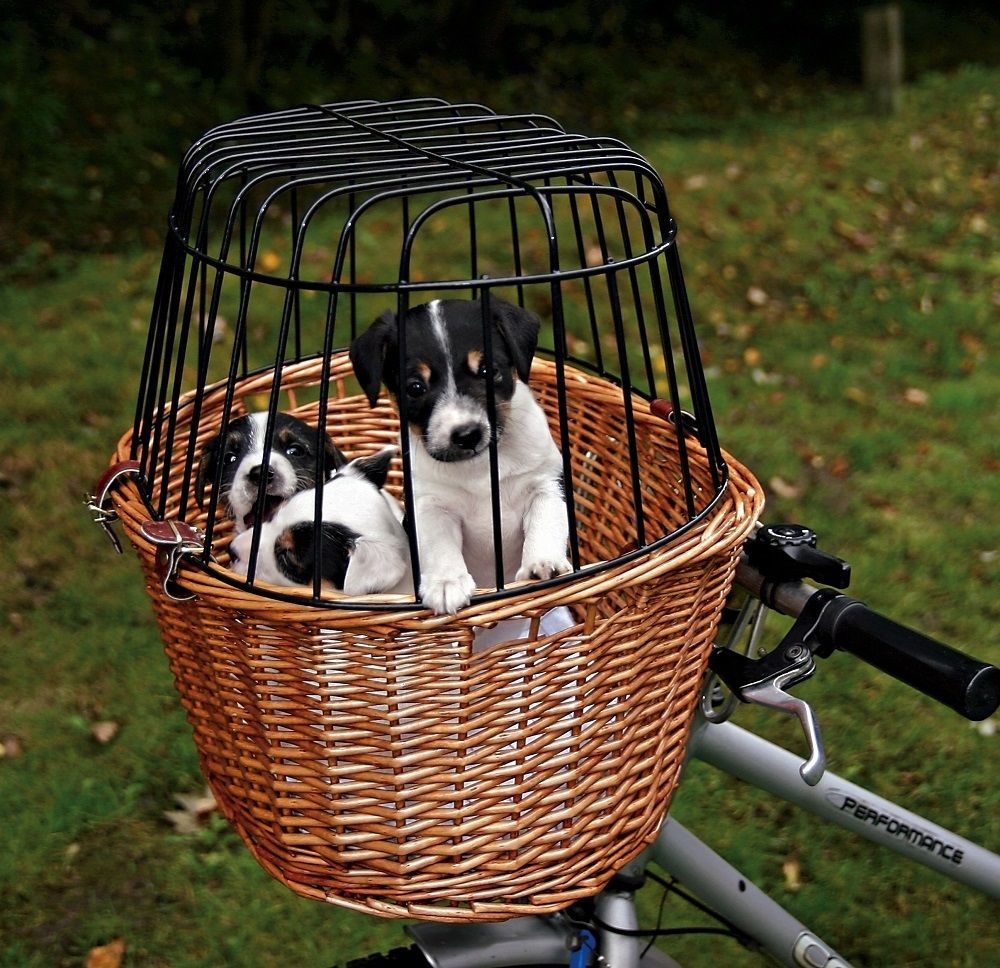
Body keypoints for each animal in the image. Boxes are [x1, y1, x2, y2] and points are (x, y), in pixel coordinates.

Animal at [352, 296, 572, 612]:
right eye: (415, 388)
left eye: (488, 371)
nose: (467, 435)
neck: (479, 467)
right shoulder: (430, 506)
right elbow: (440, 546)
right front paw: (447, 582)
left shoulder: (547, 484)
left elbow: (547, 523)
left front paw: (543, 563)